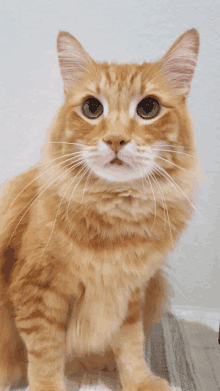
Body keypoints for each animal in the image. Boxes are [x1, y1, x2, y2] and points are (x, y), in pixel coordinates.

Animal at [0, 28, 199, 391]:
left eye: (148, 108)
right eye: (92, 108)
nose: (116, 140)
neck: (115, 217)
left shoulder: (130, 292)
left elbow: (130, 344)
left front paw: (139, 380)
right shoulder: (37, 293)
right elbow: (46, 358)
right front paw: (49, 387)